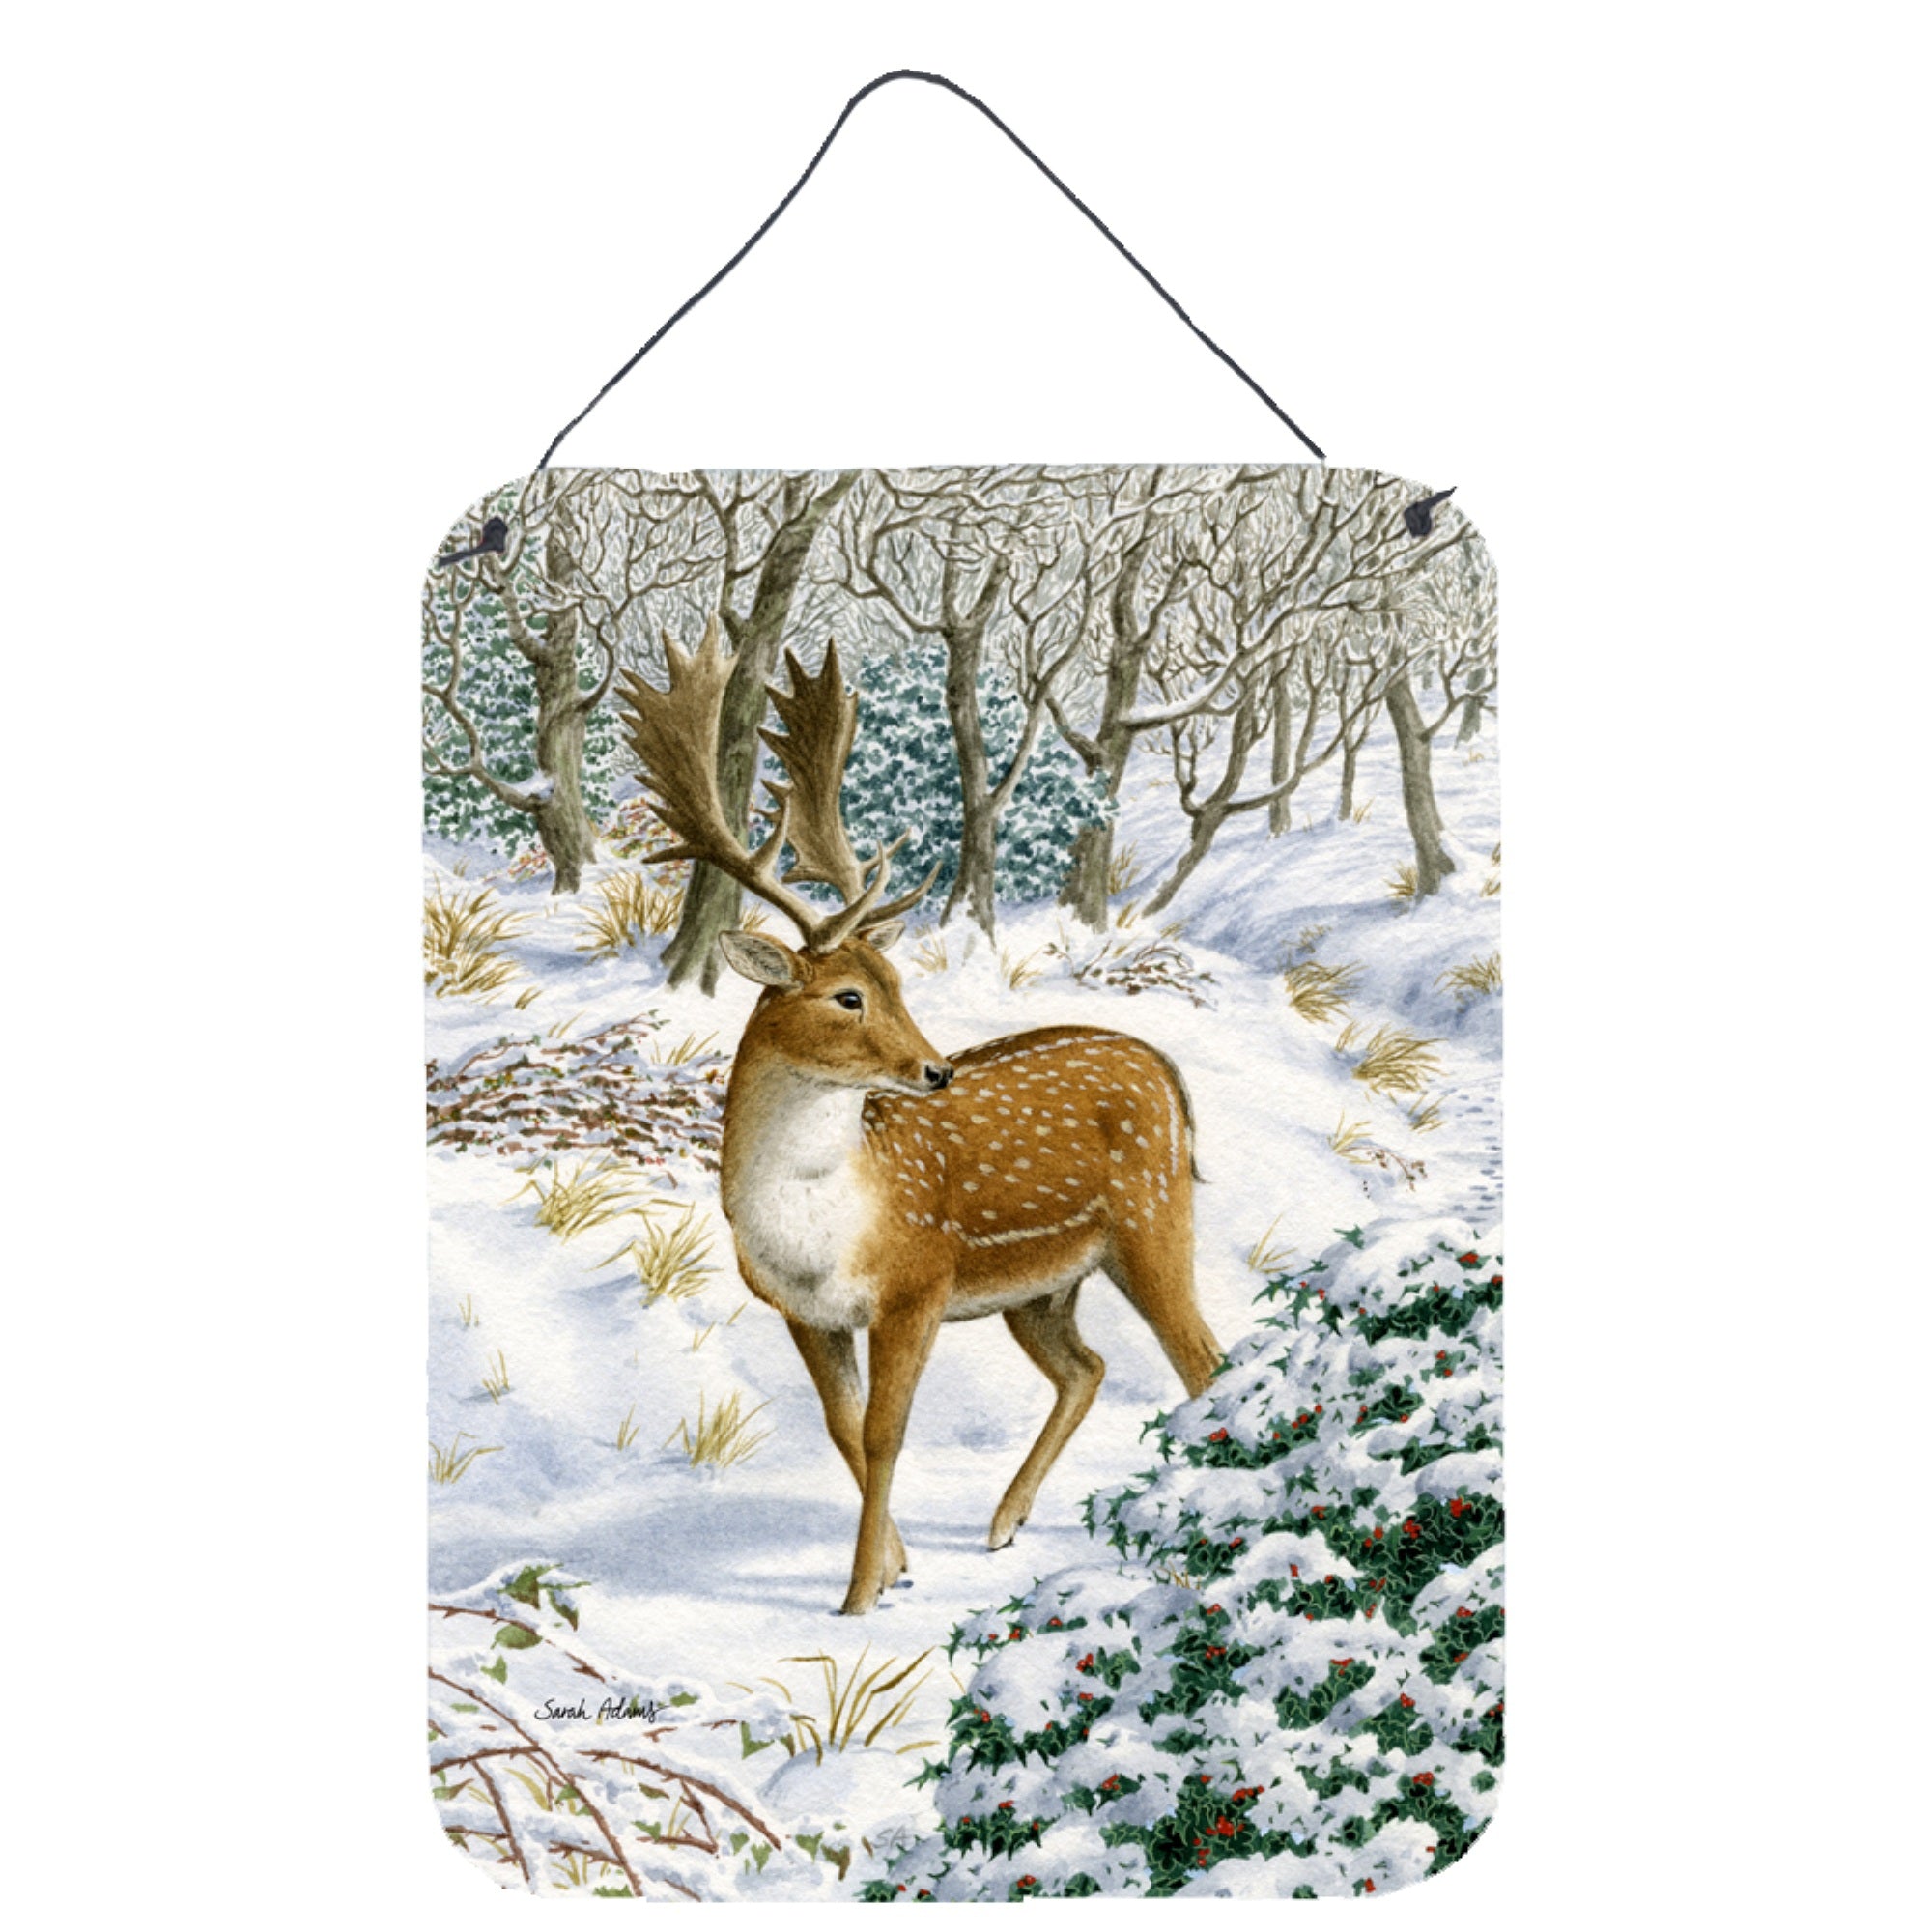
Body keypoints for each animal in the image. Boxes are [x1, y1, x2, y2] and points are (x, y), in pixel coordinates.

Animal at [618, 618, 1223, 1615]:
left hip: (1152, 1218)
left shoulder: (917, 1283)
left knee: (1203, 1360)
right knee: (1089, 1366)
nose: (935, 1070)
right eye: (849, 996)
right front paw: (899, 1566)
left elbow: (885, 1432)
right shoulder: (804, 1311)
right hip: (1042, 1286)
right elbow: (841, 1428)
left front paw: (860, 1596)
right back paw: (1005, 1521)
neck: (820, 1225)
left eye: (898, 982)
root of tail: (1171, 1078)